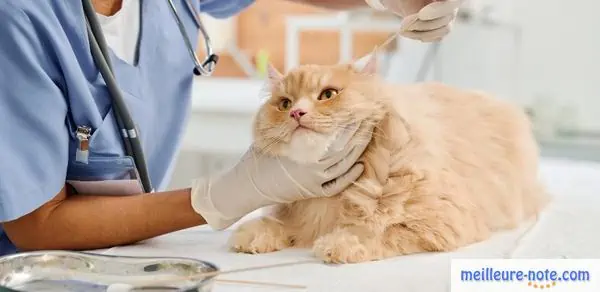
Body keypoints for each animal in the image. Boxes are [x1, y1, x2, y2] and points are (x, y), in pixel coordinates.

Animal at [229, 53, 548, 264]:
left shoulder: (438, 222)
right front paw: (253, 235)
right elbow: (275, 224)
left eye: (327, 95)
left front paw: (340, 244)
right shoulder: (299, 217)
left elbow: (377, 231)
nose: (297, 113)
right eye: (284, 104)